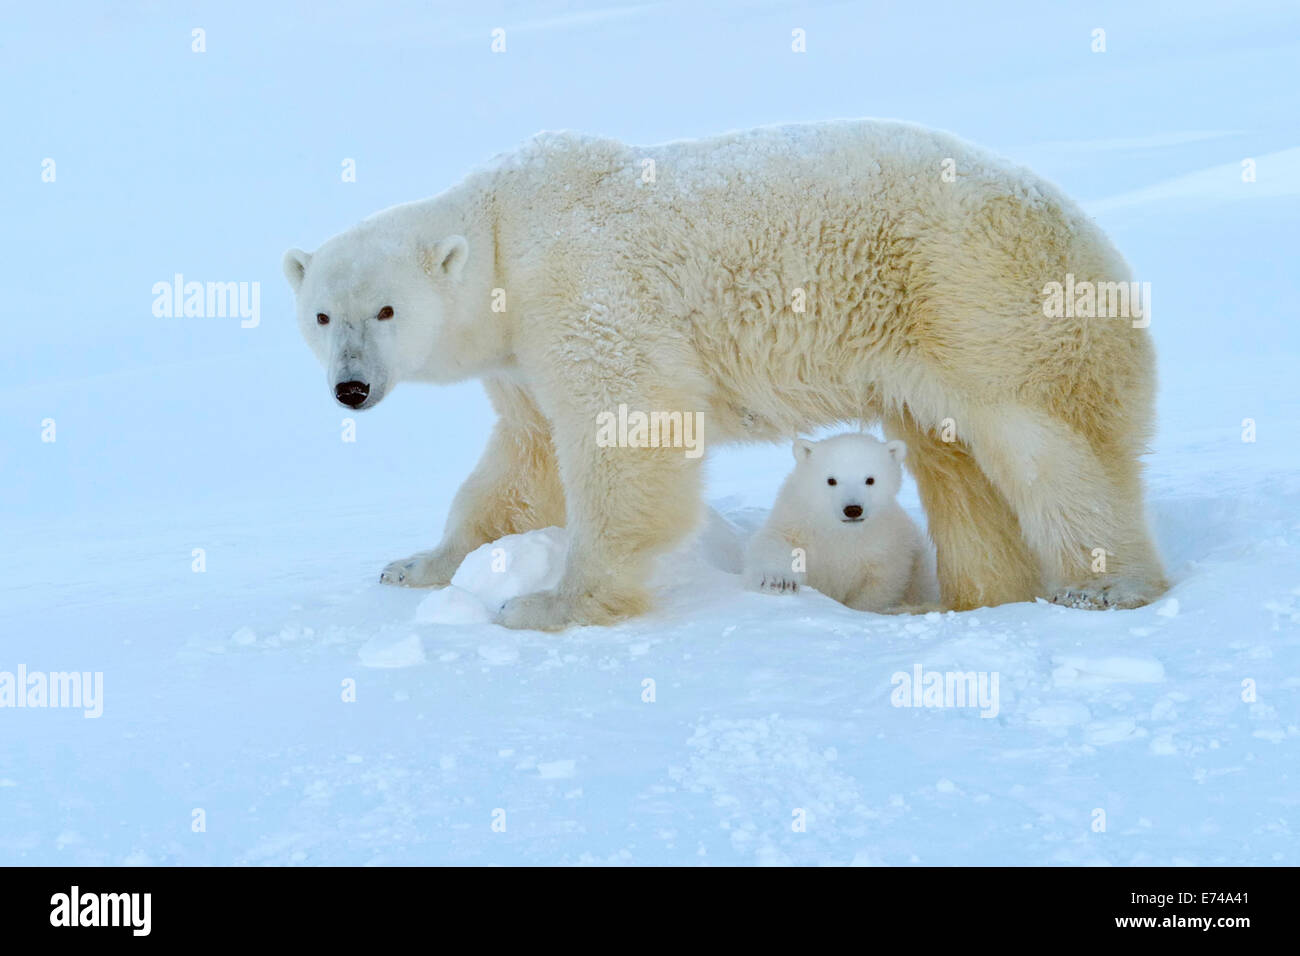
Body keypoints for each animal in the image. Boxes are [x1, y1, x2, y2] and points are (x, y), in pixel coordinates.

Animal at [754, 434, 935, 613]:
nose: (853, 509)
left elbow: (879, 587)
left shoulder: (885, 543)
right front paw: (778, 581)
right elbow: (778, 542)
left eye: (870, 479)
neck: (842, 532)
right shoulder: (799, 521)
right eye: (831, 480)